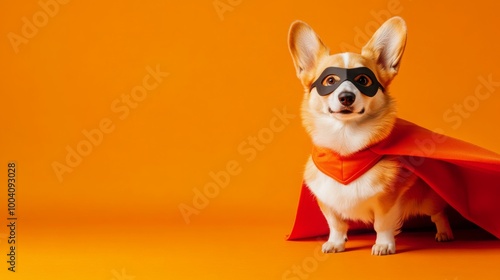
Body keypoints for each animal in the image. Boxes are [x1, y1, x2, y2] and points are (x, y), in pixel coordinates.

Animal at [288, 15, 456, 256]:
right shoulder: (328, 202)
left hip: (426, 200)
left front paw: (384, 245)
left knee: (439, 213)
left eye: (363, 80)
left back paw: (444, 233)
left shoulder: (387, 201)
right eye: (330, 81)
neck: (346, 149)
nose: (346, 97)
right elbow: (336, 224)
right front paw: (336, 243)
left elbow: (382, 224)